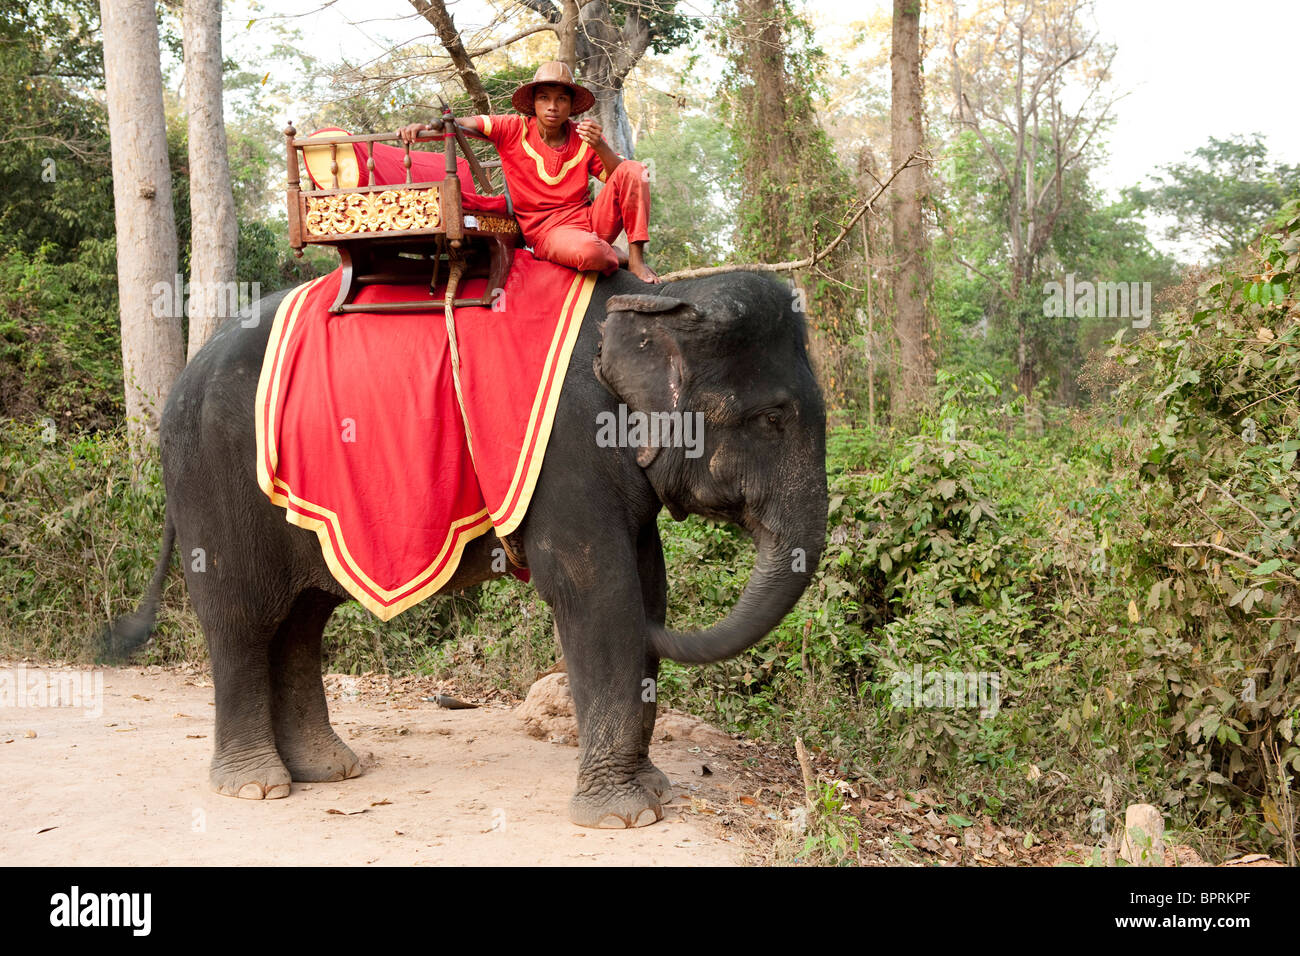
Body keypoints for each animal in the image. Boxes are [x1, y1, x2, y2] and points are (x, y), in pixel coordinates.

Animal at [103, 266, 828, 829]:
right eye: (772, 418)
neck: (657, 296)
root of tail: (179, 383)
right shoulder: (568, 447)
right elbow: (597, 587)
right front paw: (623, 818)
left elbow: (649, 580)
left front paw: (652, 791)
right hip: (213, 478)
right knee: (243, 619)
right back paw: (256, 787)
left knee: (301, 622)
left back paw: (329, 770)